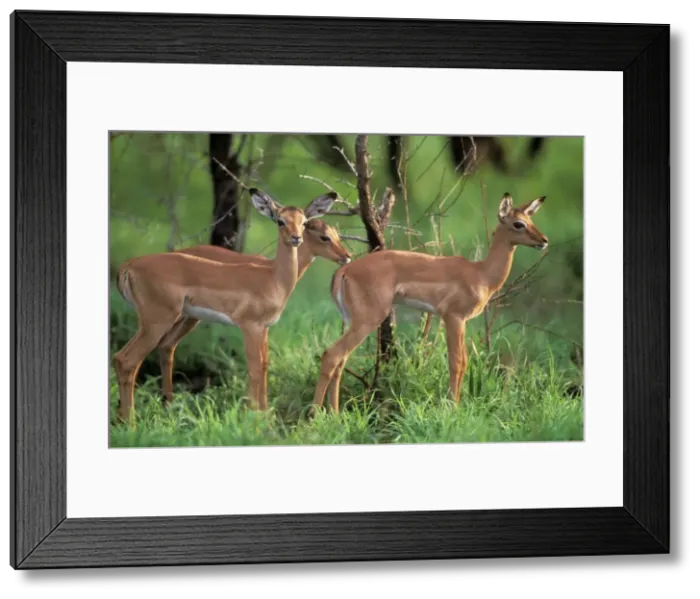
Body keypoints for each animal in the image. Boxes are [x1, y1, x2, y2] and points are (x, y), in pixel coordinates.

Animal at [113, 187, 338, 424]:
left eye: (303, 222)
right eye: (280, 221)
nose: (296, 238)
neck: (272, 277)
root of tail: (129, 266)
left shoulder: (264, 328)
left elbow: (264, 365)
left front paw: (264, 414)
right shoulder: (251, 326)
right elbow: (254, 367)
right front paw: (254, 418)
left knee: (140, 354)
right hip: (157, 322)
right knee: (127, 360)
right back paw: (131, 423)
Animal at [311, 192, 548, 413]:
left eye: (531, 219)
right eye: (518, 223)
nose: (544, 240)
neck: (481, 274)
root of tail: (345, 270)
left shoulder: (460, 321)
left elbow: (463, 361)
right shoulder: (453, 317)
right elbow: (457, 362)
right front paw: (453, 407)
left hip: (355, 321)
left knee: (340, 359)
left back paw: (334, 413)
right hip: (368, 319)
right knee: (332, 355)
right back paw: (316, 415)